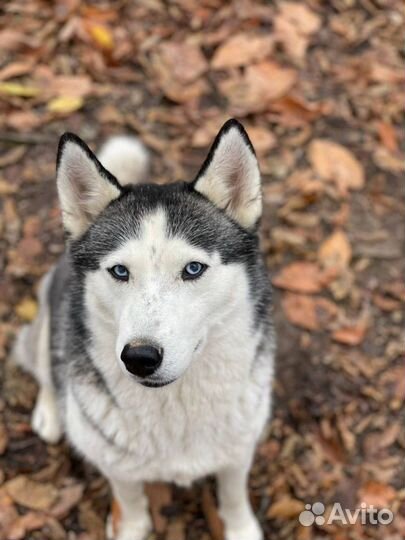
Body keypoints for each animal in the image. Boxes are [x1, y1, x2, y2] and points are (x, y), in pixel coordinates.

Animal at [12, 120, 274, 540]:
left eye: (193, 269)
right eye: (120, 271)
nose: (140, 357)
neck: (176, 407)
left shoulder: (239, 448)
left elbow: (233, 493)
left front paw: (240, 527)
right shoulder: (115, 463)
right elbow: (130, 500)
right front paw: (132, 526)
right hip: (49, 313)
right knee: (46, 368)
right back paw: (50, 413)